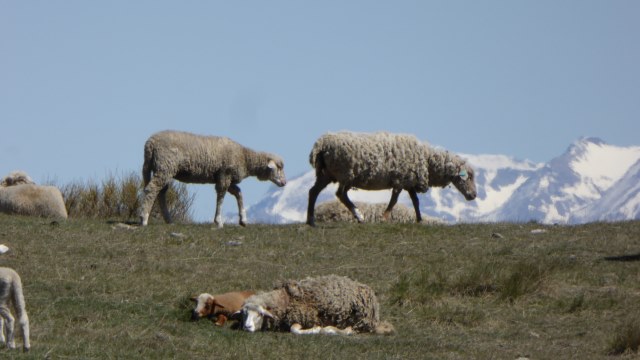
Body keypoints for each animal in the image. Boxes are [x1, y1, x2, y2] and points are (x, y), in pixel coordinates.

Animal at [143, 130, 290, 228]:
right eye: (278, 167)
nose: (284, 183)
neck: (245, 157)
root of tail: (150, 143)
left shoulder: (227, 178)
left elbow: (239, 193)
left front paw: (243, 219)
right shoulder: (225, 175)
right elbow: (220, 198)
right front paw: (218, 221)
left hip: (156, 168)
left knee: (159, 192)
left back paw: (169, 220)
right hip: (165, 167)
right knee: (151, 189)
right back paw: (143, 218)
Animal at [236, 274, 392, 336]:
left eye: (260, 314)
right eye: (244, 314)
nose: (247, 327)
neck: (284, 299)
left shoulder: (303, 317)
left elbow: (295, 330)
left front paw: (316, 329)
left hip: (358, 319)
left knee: (349, 330)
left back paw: (330, 329)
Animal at [304, 132, 476, 225]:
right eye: (468, 177)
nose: (473, 195)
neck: (427, 161)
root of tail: (320, 144)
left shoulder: (408, 182)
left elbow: (415, 202)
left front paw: (419, 220)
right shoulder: (400, 180)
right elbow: (394, 201)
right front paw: (384, 217)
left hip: (327, 174)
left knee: (313, 192)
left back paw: (311, 221)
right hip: (346, 173)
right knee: (340, 194)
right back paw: (359, 215)